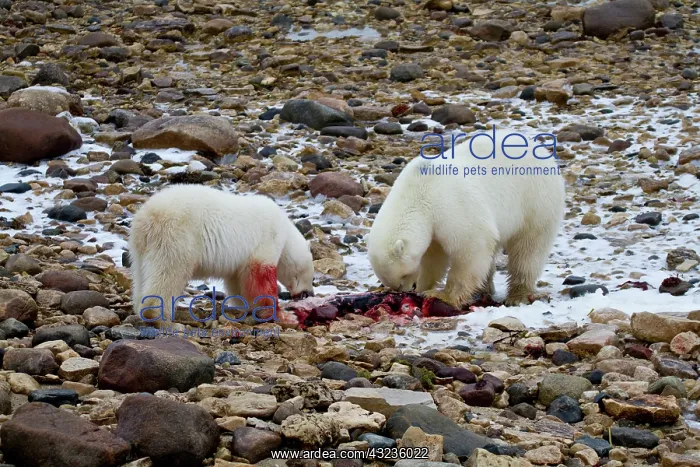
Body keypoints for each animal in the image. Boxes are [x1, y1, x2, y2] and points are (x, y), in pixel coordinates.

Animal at [128, 184, 315, 326]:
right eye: (311, 276)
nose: (309, 293)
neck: (287, 233)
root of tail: (148, 217)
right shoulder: (268, 238)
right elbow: (260, 275)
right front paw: (287, 316)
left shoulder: (239, 263)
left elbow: (238, 282)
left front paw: (247, 308)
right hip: (177, 237)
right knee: (170, 272)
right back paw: (161, 318)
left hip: (140, 248)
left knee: (141, 274)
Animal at [368, 128, 566, 308]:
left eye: (403, 277)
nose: (404, 290)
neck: (418, 190)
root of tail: (542, 152)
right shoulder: (432, 224)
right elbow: (434, 256)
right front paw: (425, 287)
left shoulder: (450, 204)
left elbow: (471, 246)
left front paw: (443, 296)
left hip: (536, 200)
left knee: (528, 248)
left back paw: (518, 295)